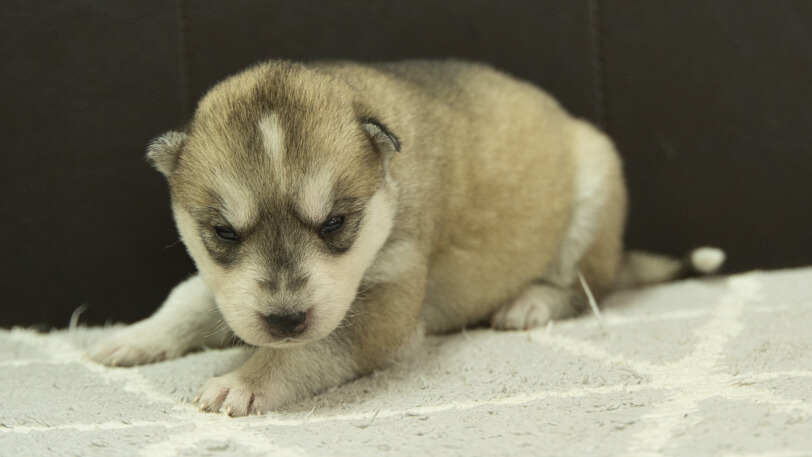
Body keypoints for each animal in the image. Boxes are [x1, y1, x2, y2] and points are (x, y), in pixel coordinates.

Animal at [85, 60, 728, 416]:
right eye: (222, 231)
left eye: (335, 224)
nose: (285, 319)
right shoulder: (228, 288)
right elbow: (190, 298)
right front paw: (136, 337)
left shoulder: (385, 305)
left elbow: (310, 349)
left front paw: (246, 380)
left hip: (593, 188)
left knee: (585, 284)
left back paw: (529, 302)